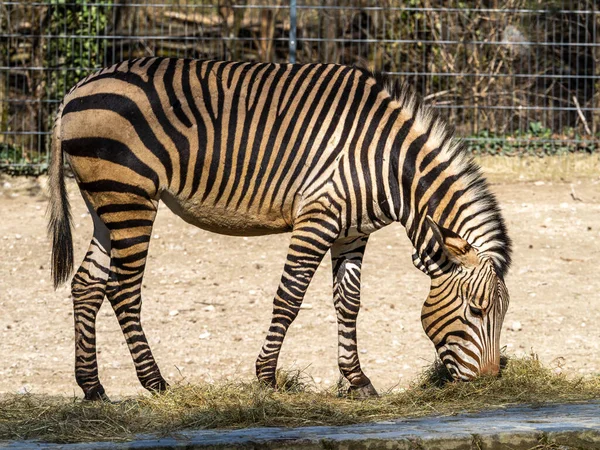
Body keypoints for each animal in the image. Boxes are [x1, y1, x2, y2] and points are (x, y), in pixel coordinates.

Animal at [48, 58, 510, 400]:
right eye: (477, 310)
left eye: (502, 313)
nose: (488, 383)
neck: (388, 164)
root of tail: (76, 89)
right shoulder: (318, 216)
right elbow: (289, 298)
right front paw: (267, 377)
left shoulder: (353, 231)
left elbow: (348, 303)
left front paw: (357, 380)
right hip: (130, 196)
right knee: (122, 290)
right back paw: (155, 383)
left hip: (104, 202)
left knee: (87, 283)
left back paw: (93, 388)